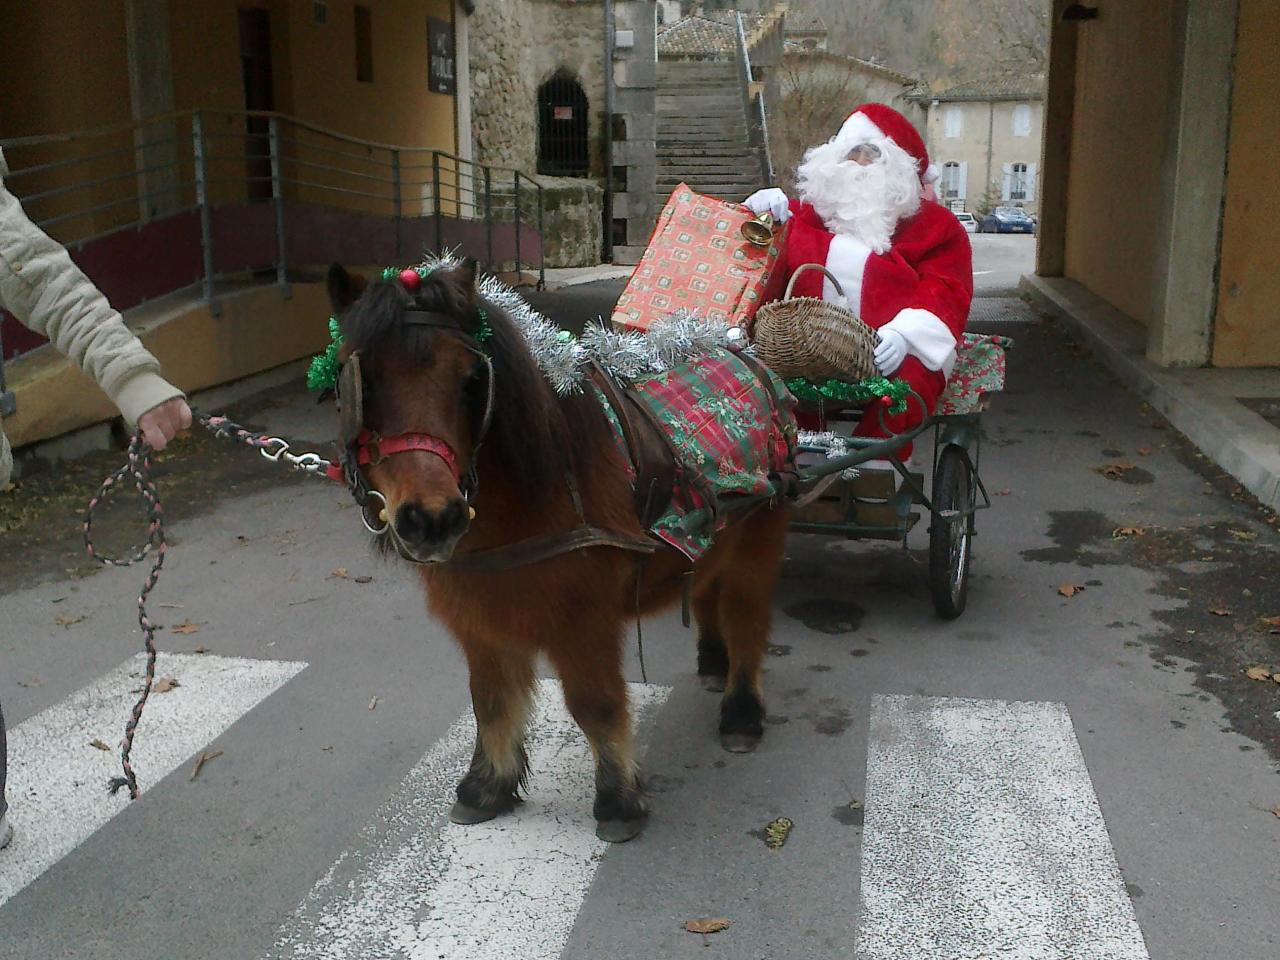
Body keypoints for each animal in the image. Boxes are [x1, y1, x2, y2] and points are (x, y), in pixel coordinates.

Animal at [327, 261, 788, 839]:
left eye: (472, 381)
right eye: (360, 381)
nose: (432, 519)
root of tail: (739, 351)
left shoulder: (584, 621)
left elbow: (594, 703)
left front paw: (618, 800)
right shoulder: (479, 617)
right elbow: (490, 699)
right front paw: (488, 786)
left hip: (758, 534)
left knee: (747, 616)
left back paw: (742, 712)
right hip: (714, 536)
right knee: (705, 585)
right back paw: (712, 661)